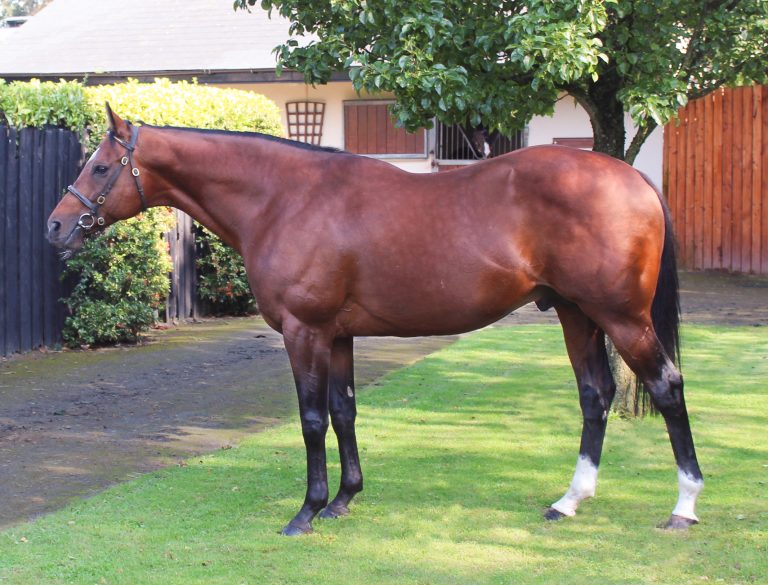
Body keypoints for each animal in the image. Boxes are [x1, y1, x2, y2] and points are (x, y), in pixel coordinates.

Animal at [47, 105, 703, 536]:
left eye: (101, 167)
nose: (56, 226)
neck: (286, 199)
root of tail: (633, 176)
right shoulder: (338, 335)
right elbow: (344, 412)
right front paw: (344, 499)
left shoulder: (305, 332)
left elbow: (312, 419)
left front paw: (307, 512)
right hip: (577, 315)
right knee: (596, 395)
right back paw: (569, 501)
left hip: (622, 318)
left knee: (666, 387)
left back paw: (684, 506)